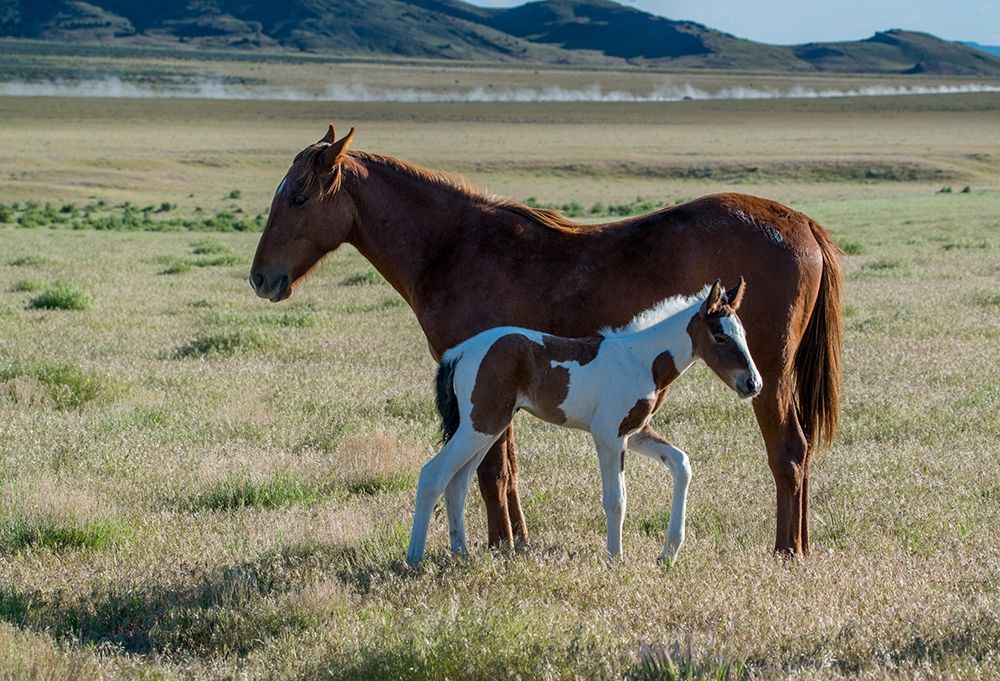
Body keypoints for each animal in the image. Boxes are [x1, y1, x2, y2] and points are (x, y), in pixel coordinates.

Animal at [406, 279, 760, 566]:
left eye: (744, 333)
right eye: (719, 336)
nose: (752, 384)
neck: (641, 360)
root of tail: (461, 351)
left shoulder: (635, 433)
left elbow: (681, 463)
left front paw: (668, 554)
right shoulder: (609, 435)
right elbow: (616, 498)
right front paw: (615, 558)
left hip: (488, 426)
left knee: (457, 481)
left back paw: (461, 553)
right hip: (482, 424)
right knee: (433, 474)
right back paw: (414, 558)